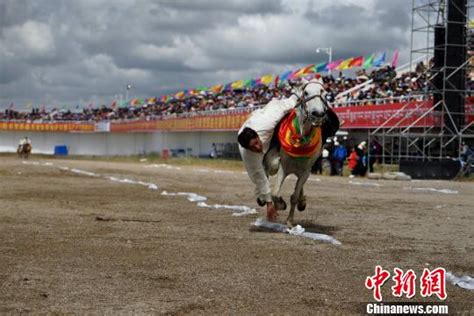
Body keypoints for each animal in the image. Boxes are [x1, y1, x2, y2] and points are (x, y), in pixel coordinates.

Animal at [264, 77, 338, 226]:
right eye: (306, 92)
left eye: (324, 92)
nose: (317, 114)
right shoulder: (283, 167)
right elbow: (275, 193)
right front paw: (280, 205)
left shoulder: (306, 170)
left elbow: (294, 195)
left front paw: (290, 220)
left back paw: (301, 202)